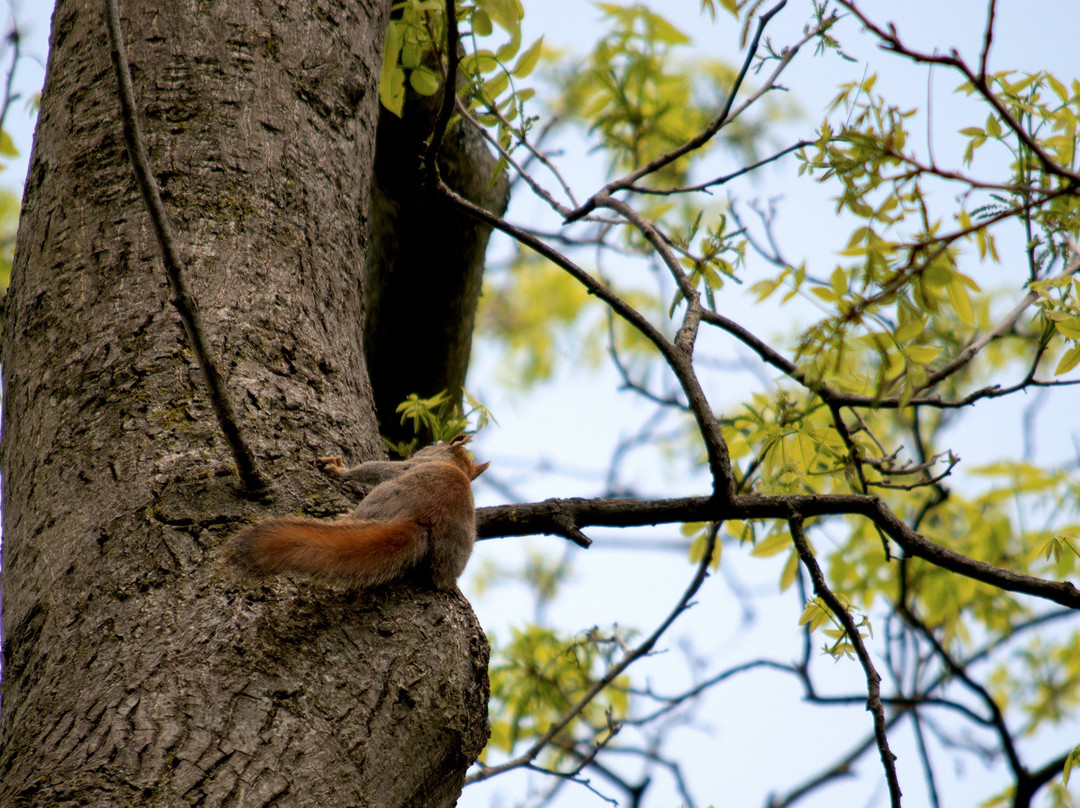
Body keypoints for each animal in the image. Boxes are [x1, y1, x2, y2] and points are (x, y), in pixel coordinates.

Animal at [237, 432, 494, 591]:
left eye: (433, 445)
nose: (427, 444)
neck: (454, 464)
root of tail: (422, 522)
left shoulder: (404, 466)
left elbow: (371, 469)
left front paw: (338, 470)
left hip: (384, 495)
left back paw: (348, 516)